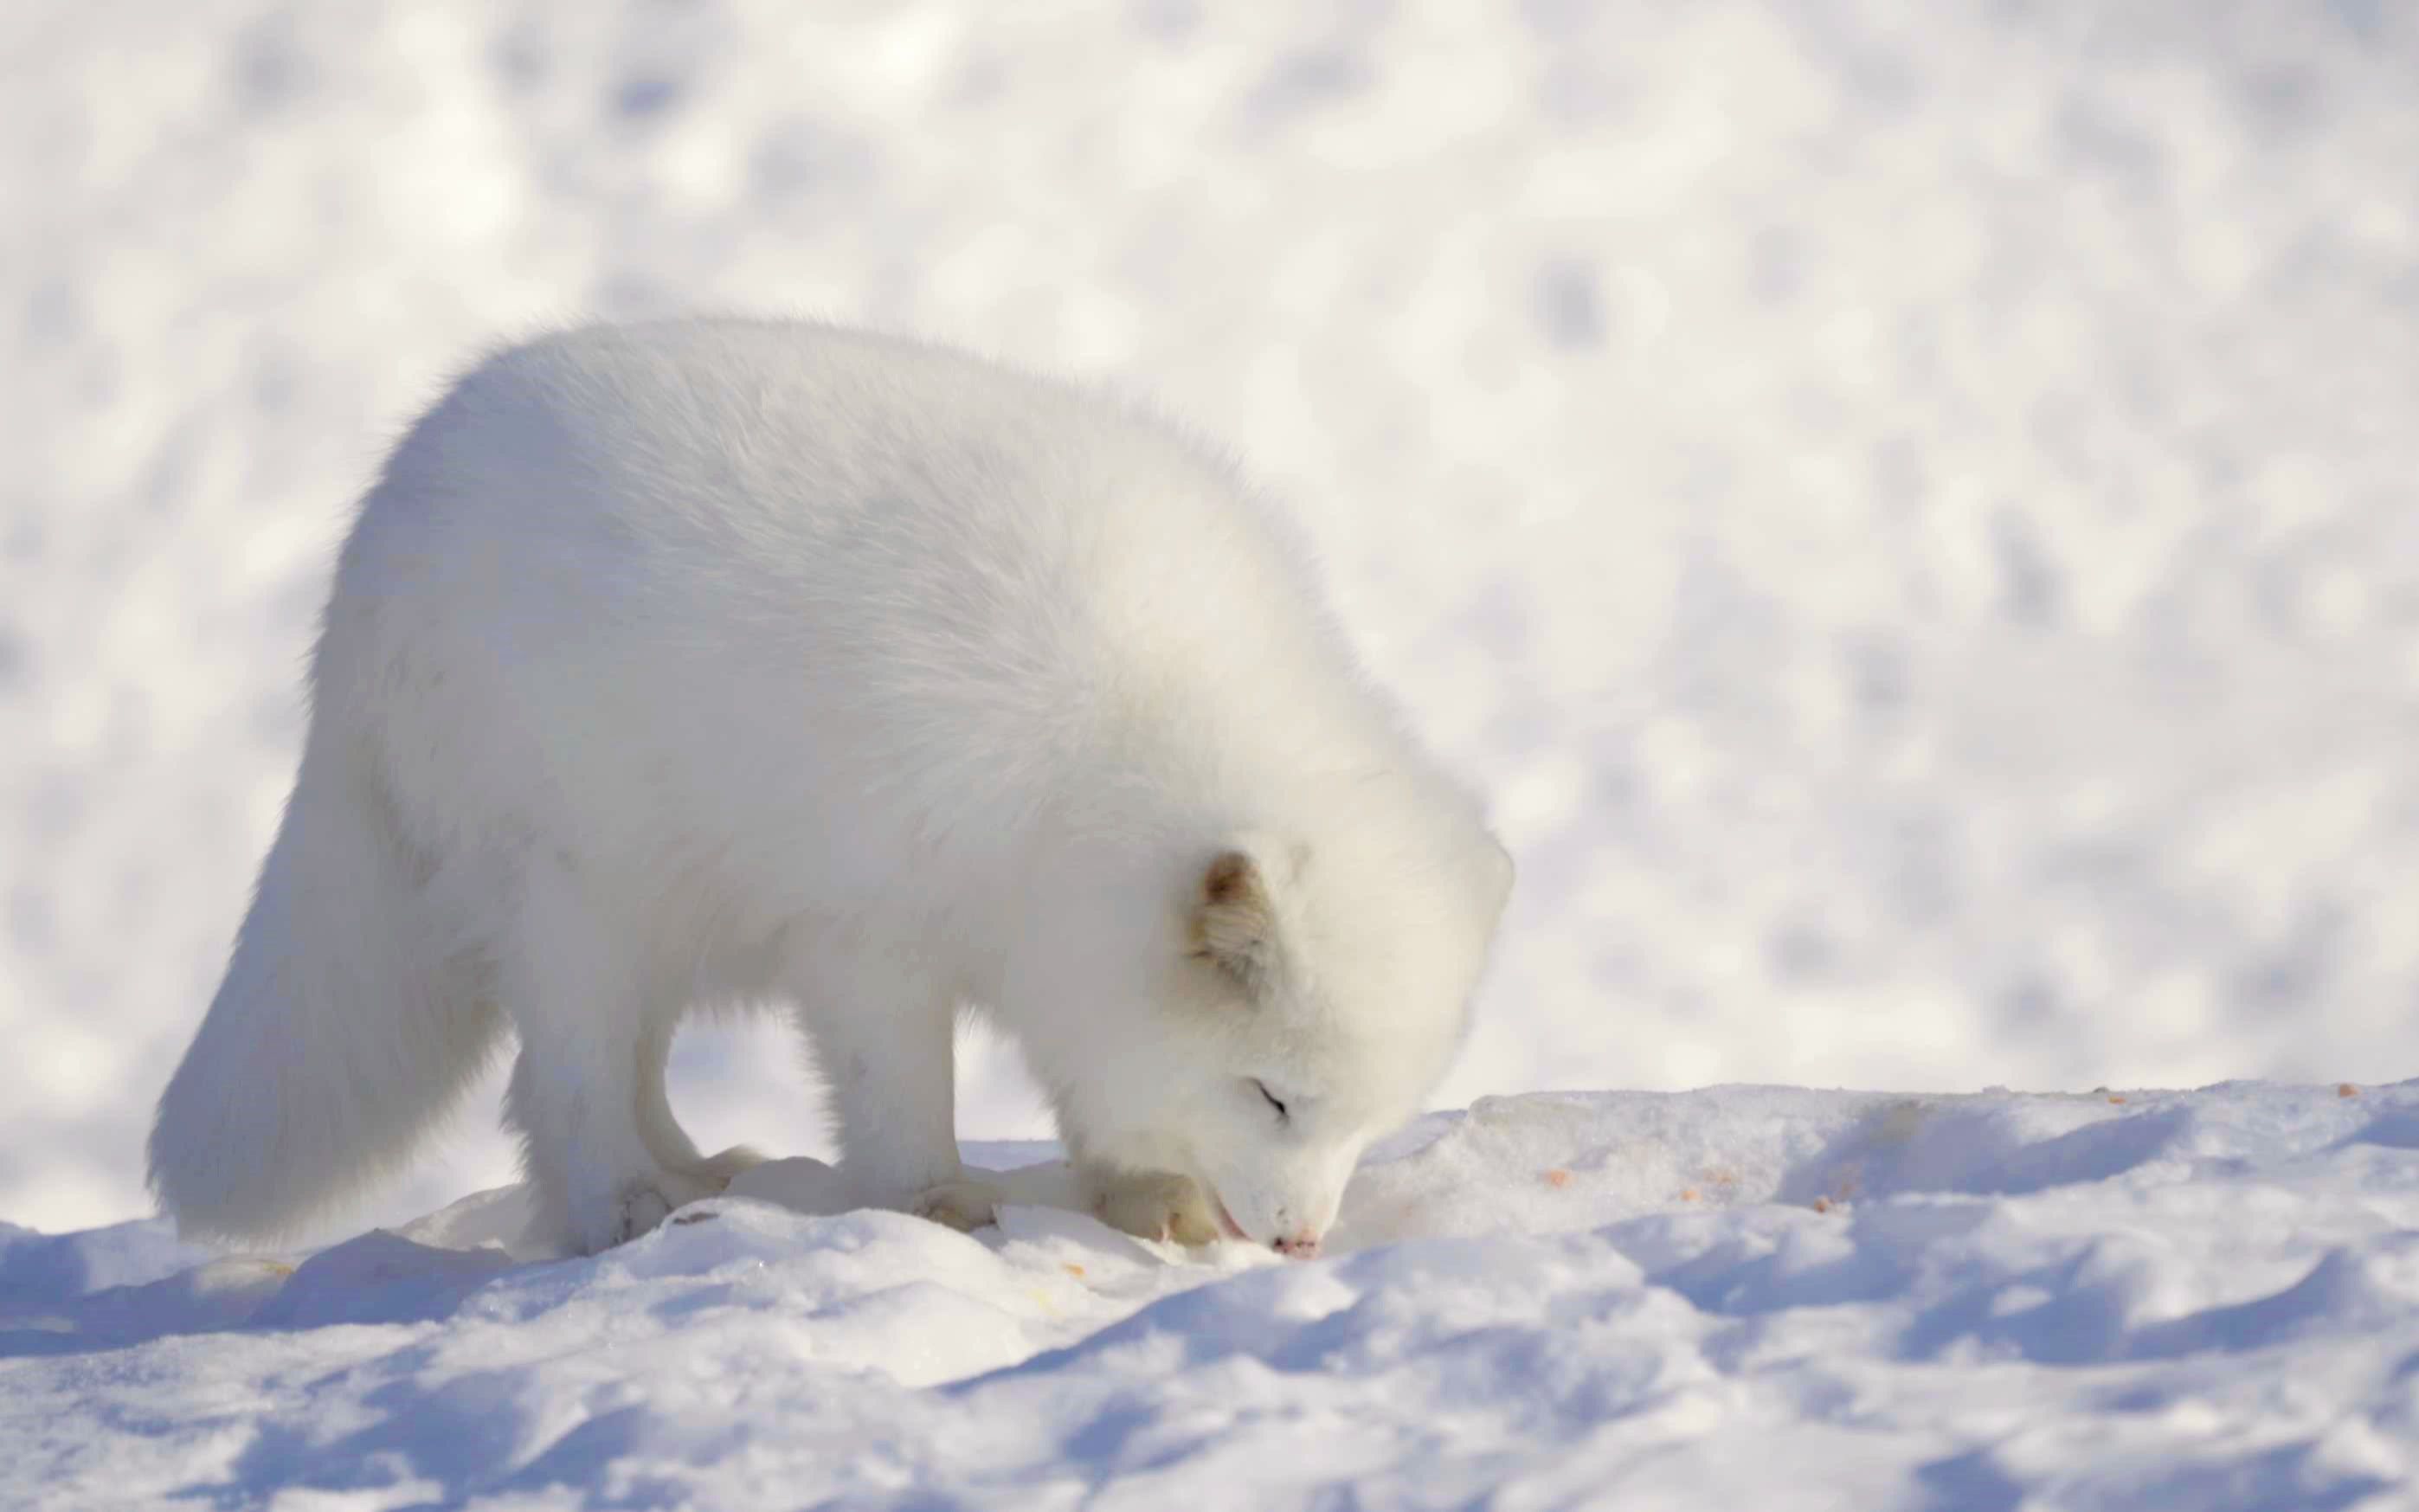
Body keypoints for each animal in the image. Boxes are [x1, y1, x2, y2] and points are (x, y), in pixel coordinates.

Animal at [146, 321, 1509, 1258]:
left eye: (1365, 1123)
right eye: (1271, 1093)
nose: (1301, 1242)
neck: (1111, 727)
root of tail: (371, 542)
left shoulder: (1063, 936)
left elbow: (1099, 1083)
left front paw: (1144, 1197)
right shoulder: (873, 936)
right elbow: (901, 1098)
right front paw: (936, 1207)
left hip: (652, 910)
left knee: (614, 1074)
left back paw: (701, 1177)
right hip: (573, 897)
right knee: (560, 1085)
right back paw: (626, 1205)